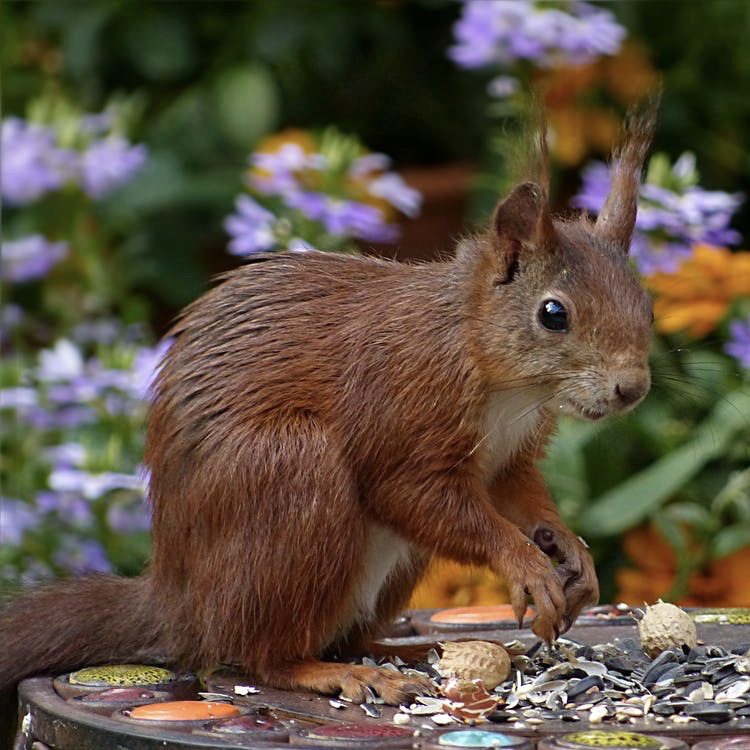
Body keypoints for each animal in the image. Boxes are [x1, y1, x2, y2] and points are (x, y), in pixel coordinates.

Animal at [0, 103, 657, 713]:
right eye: (554, 313)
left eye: (645, 302)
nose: (632, 388)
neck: (508, 384)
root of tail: (180, 602)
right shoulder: (402, 402)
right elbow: (416, 495)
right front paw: (525, 563)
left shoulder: (510, 452)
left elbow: (517, 494)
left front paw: (569, 550)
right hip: (290, 473)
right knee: (261, 655)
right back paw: (339, 673)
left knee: (347, 635)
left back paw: (414, 651)